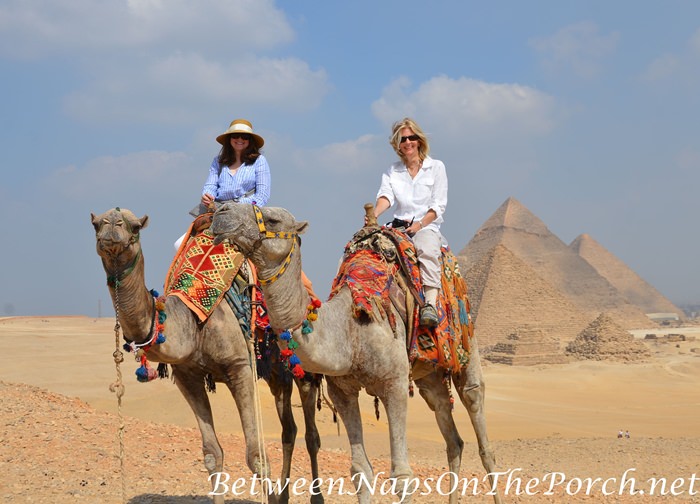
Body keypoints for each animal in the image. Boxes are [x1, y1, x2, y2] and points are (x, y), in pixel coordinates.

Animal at [89, 208, 326, 504]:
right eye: (95, 224)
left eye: (134, 227)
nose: (111, 225)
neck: (193, 320)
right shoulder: (187, 376)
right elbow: (213, 454)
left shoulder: (240, 367)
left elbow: (256, 456)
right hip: (275, 372)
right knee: (289, 429)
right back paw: (282, 495)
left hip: (303, 367)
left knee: (311, 434)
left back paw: (315, 496)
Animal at [213, 203, 504, 502]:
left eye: (273, 219)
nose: (222, 212)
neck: (350, 332)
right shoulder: (342, 392)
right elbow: (360, 470)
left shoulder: (394, 384)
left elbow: (402, 474)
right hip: (429, 375)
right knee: (451, 433)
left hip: (466, 344)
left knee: (477, 415)